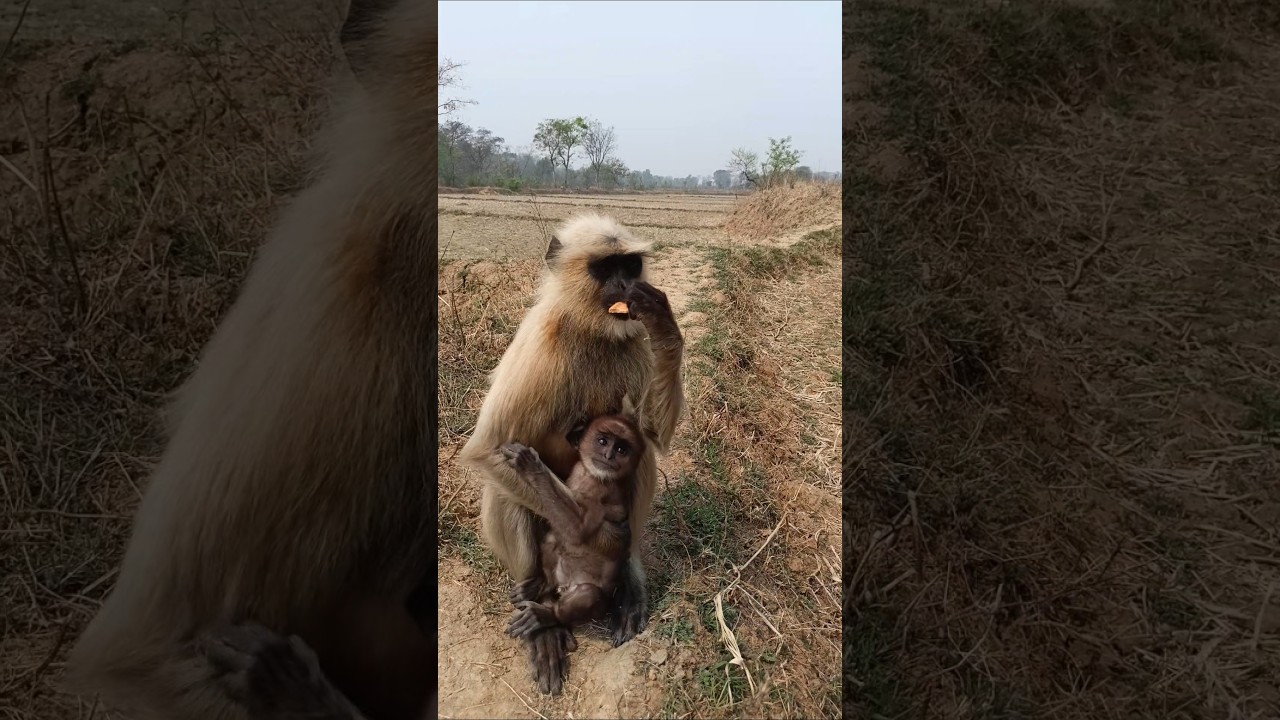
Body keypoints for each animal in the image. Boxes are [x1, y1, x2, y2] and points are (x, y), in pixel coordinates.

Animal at [501, 409, 645, 641]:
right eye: (603, 441)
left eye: (621, 449)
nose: (608, 456)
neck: (590, 474)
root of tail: (566, 585)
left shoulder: (599, 492)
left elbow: (579, 530)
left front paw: (531, 466)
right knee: (552, 539)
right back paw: (541, 586)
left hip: (594, 601)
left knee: (588, 594)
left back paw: (545, 616)